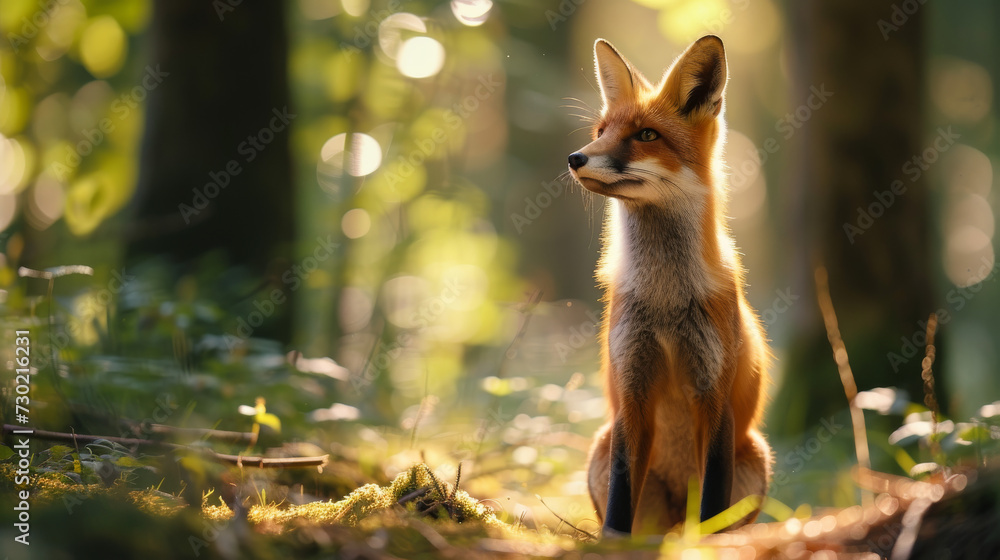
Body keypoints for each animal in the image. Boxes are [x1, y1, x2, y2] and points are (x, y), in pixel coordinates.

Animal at [567, 36, 772, 535]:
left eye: (646, 135)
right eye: (600, 130)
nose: (575, 157)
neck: (664, 299)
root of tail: (677, 510)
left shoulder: (713, 393)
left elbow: (713, 502)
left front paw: (708, 544)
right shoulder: (633, 390)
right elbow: (620, 501)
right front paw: (611, 544)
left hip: (754, 454)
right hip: (602, 445)